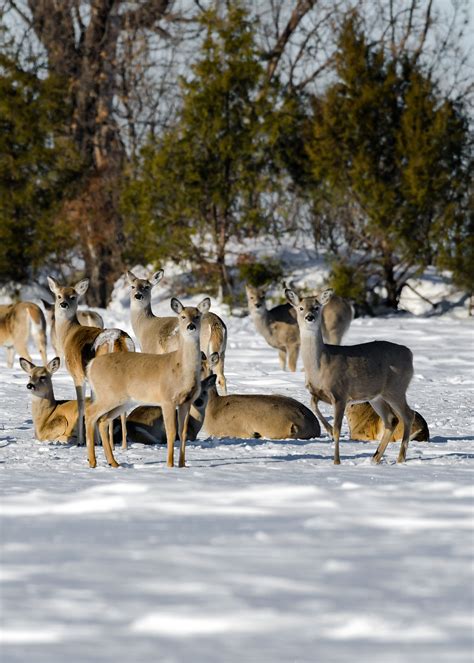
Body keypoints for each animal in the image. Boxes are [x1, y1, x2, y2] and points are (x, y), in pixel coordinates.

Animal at [46, 274, 134, 452]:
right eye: (58, 295)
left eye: (73, 296)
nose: (63, 304)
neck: (68, 335)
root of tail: (118, 338)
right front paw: (97, 441)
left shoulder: (78, 375)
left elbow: (81, 405)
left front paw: (81, 441)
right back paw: (122, 446)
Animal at [85, 298, 206, 470]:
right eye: (182, 316)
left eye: (197, 315)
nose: (191, 326)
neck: (182, 368)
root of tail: (91, 365)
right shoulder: (167, 399)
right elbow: (171, 432)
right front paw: (170, 465)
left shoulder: (187, 401)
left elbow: (182, 433)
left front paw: (182, 465)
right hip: (107, 395)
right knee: (90, 413)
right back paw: (92, 462)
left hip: (123, 401)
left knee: (103, 421)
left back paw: (113, 462)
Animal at [286, 288, 414, 464]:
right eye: (301, 307)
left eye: (317, 307)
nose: (309, 317)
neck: (320, 366)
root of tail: (409, 353)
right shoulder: (316, 392)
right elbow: (313, 405)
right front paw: (327, 429)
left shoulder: (340, 393)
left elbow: (338, 429)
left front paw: (336, 462)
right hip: (376, 396)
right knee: (391, 419)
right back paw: (375, 458)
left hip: (395, 388)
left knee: (408, 415)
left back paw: (400, 458)